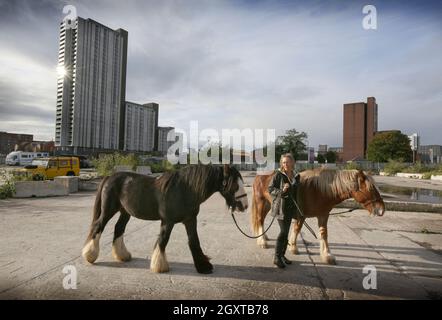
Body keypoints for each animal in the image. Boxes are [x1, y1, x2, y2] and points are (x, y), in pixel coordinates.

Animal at [82, 165, 249, 272]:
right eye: (234, 185)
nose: (245, 205)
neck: (185, 190)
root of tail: (110, 177)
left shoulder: (190, 220)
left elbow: (194, 241)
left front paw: (203, 267)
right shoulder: (168, 222)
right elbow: (163, 240)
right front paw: (159, 266)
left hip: (125, 212)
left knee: (118, 229)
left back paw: (122, 256)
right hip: (108, 210)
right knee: (98, 226)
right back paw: (89, 256)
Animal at [252, 169, 384, 264]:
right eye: (371, 189)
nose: (381, 209)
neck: (317, 190)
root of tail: (259, 176)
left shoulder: (323, 215)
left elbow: (324, 234)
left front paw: (327, 255)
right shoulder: (301, 216)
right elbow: (297, 229)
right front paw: (293, 248)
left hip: (268, 204)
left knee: (261, 220)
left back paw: (265, 237)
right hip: (261, 203)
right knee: (259, 220)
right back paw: (262, 241)